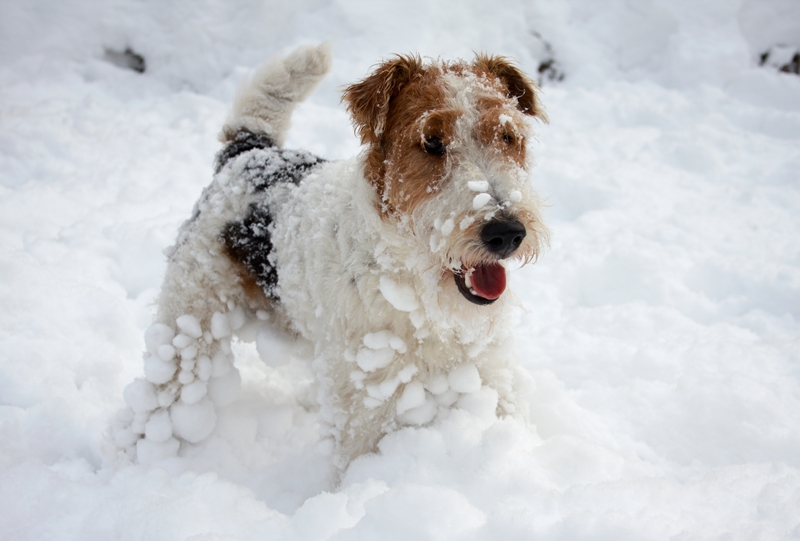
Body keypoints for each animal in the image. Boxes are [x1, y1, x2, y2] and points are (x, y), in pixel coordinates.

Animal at [112, 45, 552, 468]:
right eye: (431, 141)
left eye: (508, 135)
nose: (507, 233)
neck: (415, 292)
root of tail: (247, 155)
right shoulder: (369, 397)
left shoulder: (486, 373)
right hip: (188, 319)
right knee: (160, 393)